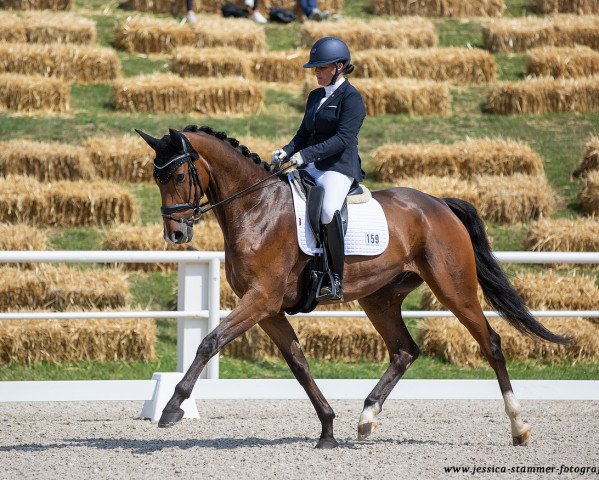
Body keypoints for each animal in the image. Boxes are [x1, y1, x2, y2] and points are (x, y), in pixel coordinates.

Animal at [136, 125, 568, 448]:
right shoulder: (268, 309)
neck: (256, 208)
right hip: (380, 298)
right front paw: (327, 429)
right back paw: (366, 417)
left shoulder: (260, 299)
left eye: (178, 176)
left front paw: (173, 407)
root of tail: (439, 204)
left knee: (490, 342)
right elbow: (299, 363)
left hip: (454, 289)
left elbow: (209, 342)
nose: (175, 234)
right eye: (156, 178)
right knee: (404, 351)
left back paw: (519, 427)